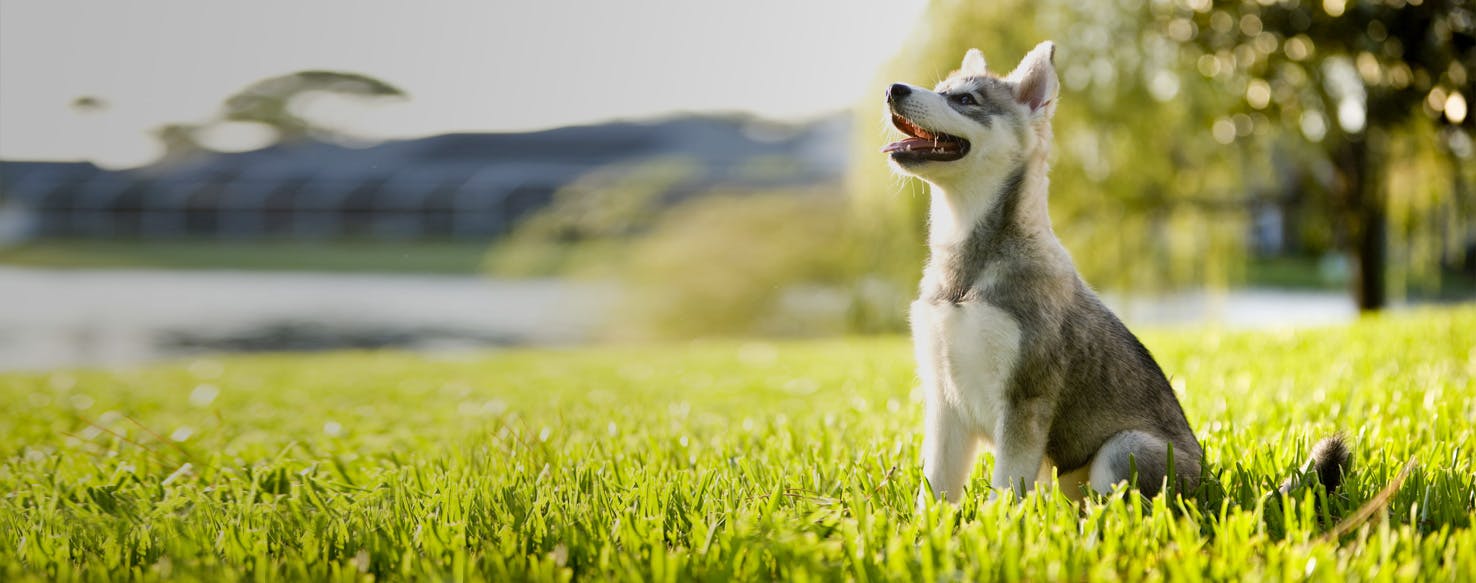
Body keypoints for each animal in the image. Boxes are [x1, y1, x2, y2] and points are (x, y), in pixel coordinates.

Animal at [873, 41, 1352, 507]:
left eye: (965, 99)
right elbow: (934, 493)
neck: (967, 269)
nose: (894, 89)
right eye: (942, 89)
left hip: (1125, 449)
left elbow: (1004, 494)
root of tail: (1215, 492)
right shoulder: (944, 402)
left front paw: (996, 526)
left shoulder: (1025, 401)